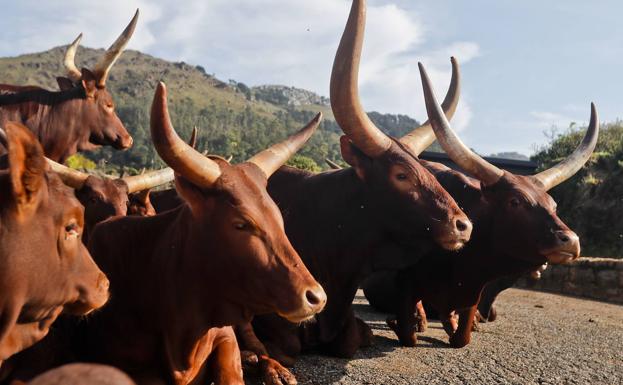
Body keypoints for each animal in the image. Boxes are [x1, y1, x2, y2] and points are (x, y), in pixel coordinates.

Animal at [380, 63, 600, 348]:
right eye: (515, 201)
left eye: (553, 204)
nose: (571, 241)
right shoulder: (408, 280)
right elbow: (409, 327)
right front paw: (408, 322)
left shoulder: (475, 291)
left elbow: (462, 334)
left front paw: (459, 325)